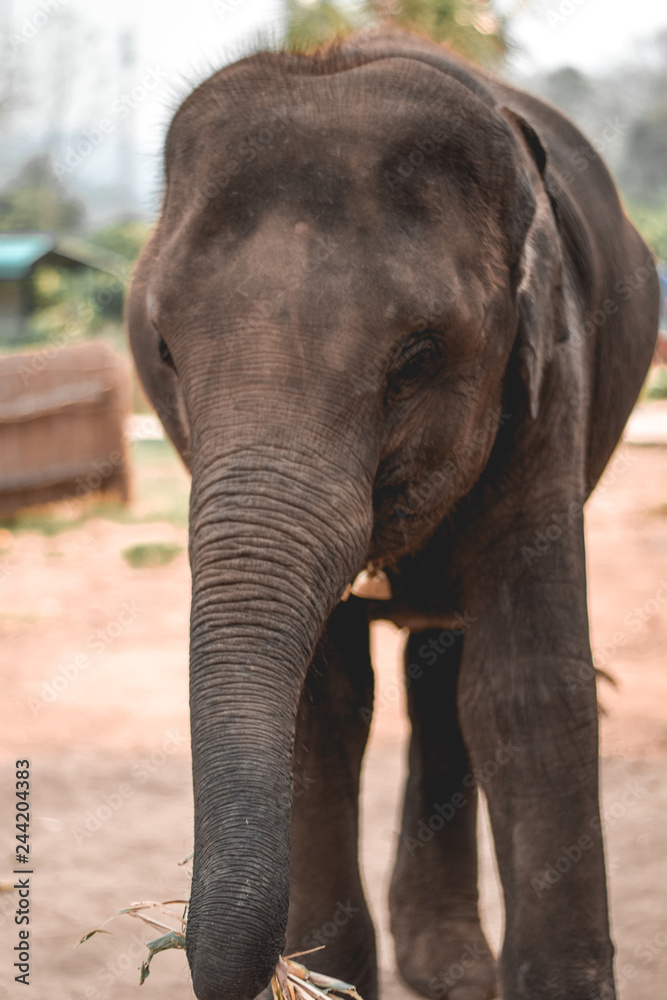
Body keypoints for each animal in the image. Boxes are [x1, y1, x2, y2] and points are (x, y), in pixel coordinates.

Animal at [128, 27, 660, 1000]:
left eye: (415, 358)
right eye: (163, 350)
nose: (169, 947)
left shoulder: (549, 387)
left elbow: (527, 690)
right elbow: (324, 704)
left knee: (452, 673)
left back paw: (448, 967)